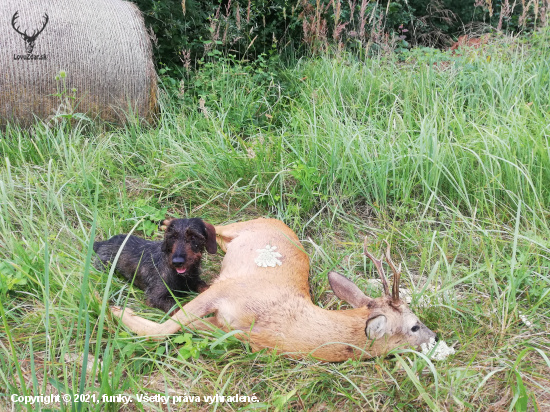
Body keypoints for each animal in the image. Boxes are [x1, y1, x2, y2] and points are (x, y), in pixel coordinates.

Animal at [112, 219, 438, 360]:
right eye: (414, 325)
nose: (436, 337)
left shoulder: (228, 329)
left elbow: (179, 327)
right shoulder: (226, 288)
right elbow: (164, 328)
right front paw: (117, 311)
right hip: (237, 226)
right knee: (213, 226)